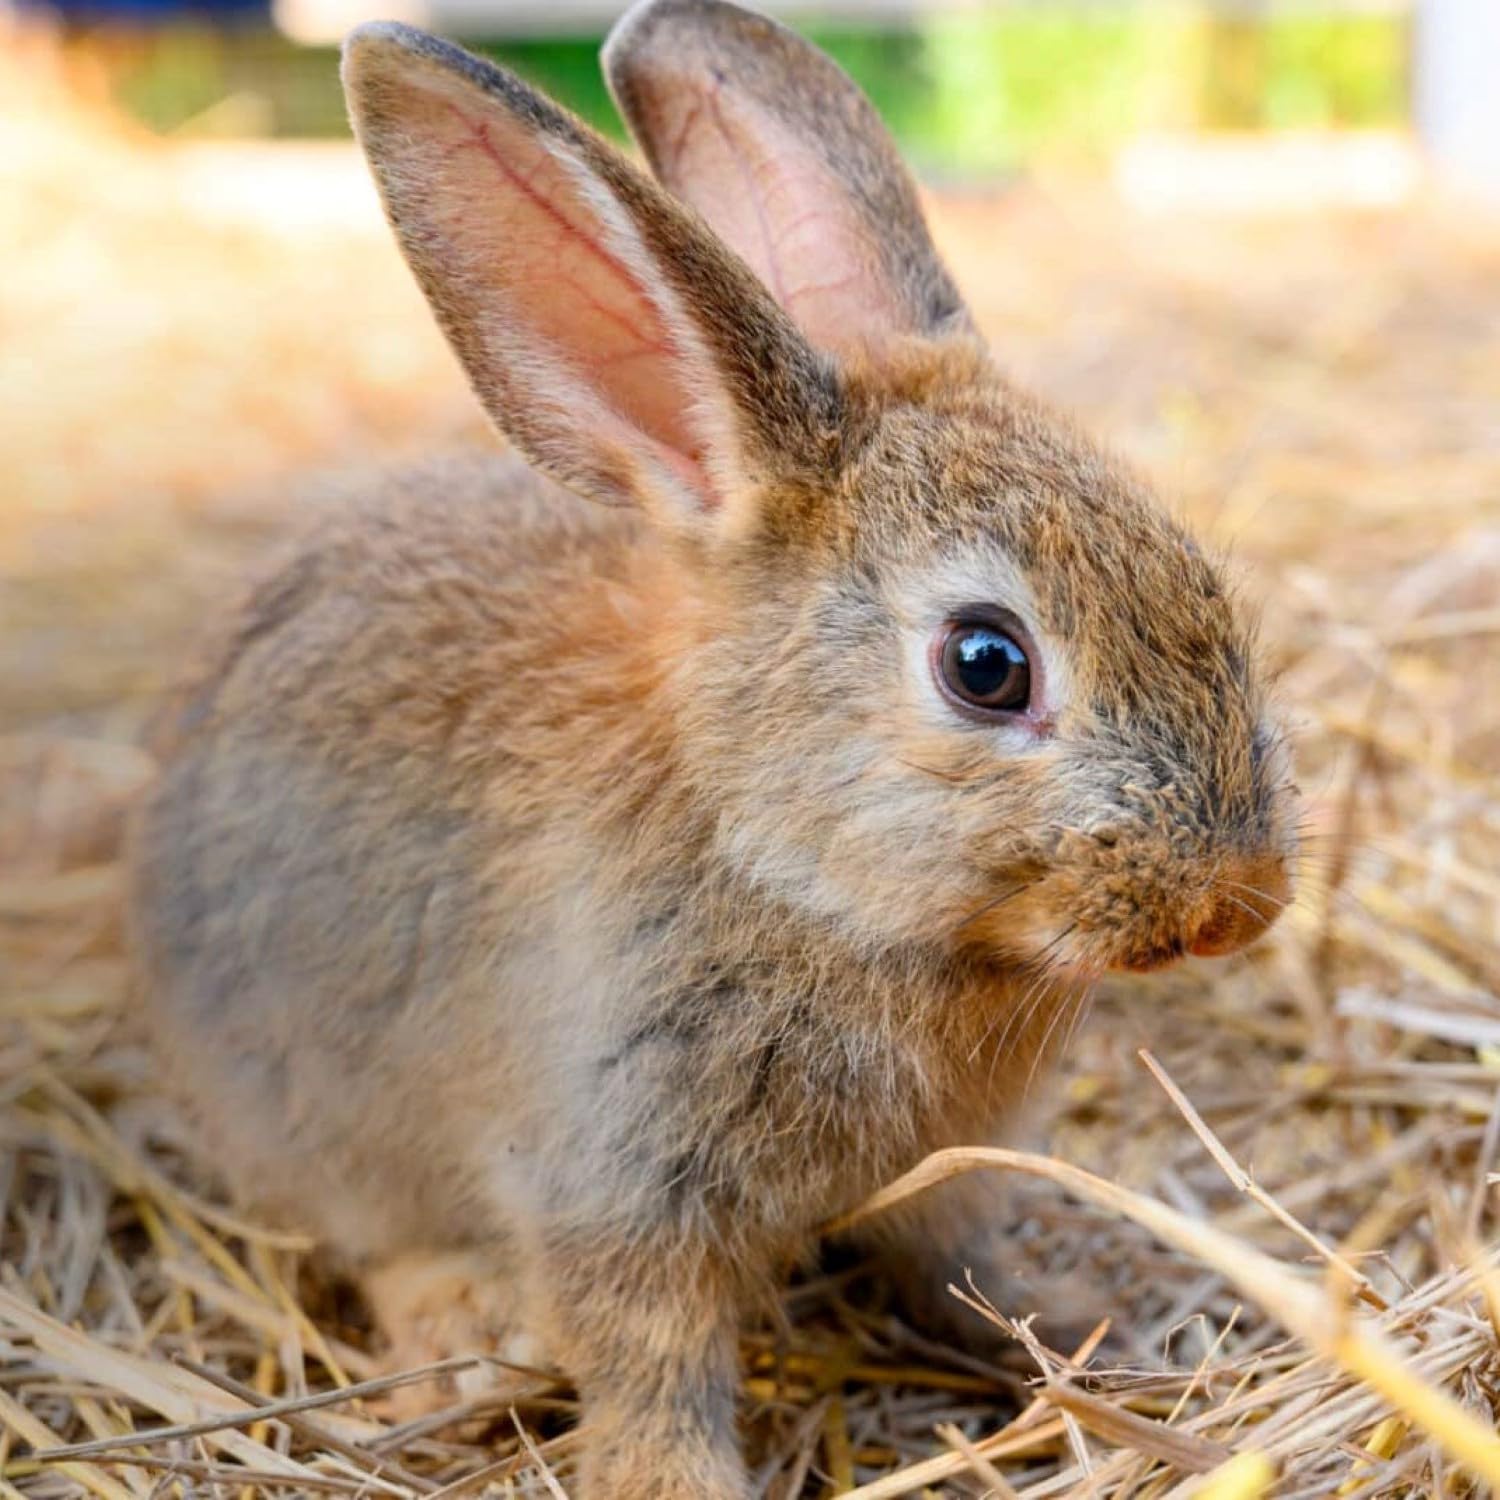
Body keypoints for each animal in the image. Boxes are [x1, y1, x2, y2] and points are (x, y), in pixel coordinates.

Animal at [128, 0, 1298, 1493]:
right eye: (987, 665)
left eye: (1195, 570)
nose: (1237, 904)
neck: (790, 870)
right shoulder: (611, 1180)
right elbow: (647, 1365)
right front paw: (670, 1478)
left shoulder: (945, 1169)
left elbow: (962, 1265)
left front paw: (1089, 1335)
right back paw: (464, 1339)